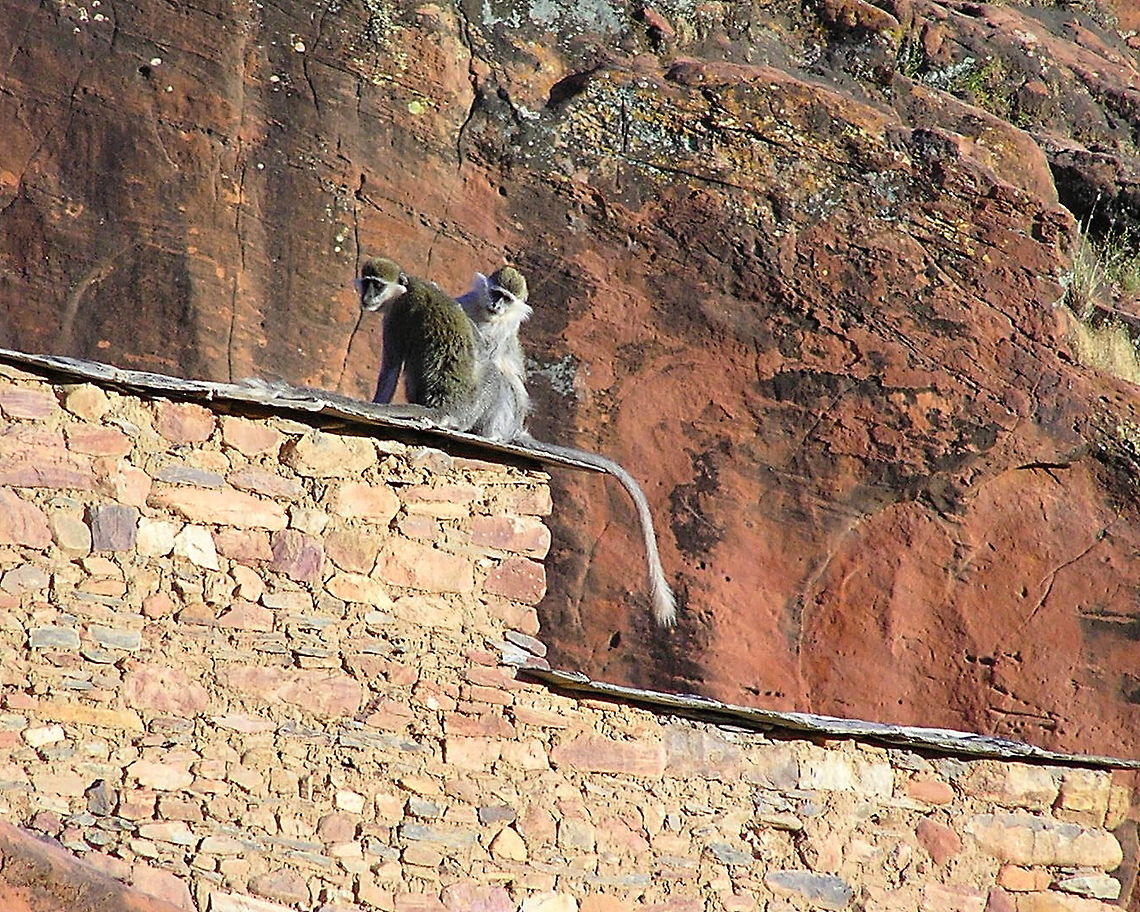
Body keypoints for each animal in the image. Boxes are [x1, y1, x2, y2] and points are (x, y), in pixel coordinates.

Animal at [454, 266, 677, 627]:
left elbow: (491, 358)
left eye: (508, 299)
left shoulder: (501, 333)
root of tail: (514, 430)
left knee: (502, 379)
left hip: (506, 416)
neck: (486, 317)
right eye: (496, 292)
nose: (497, 306)